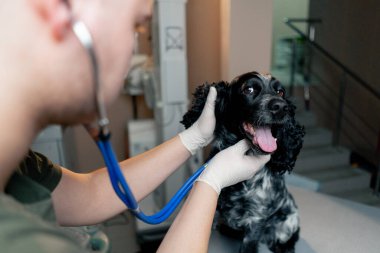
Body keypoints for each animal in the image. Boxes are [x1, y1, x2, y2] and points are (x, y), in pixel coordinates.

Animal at [182, 71, 306, 253]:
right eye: (249, 89)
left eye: (281, 92)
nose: (282, 107)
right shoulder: (213, 210)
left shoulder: (256, 219)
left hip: (287, 224)